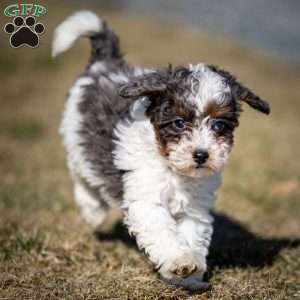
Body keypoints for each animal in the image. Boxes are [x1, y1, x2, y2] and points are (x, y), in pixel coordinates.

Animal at [52, 11, 270, 290]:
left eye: (219, 125)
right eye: (179, 123)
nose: (201, 155)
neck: (172, 166)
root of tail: (104, 62)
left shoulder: (194, 207)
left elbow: (191, 235)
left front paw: (190, 276)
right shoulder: (146, 198)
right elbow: (163, 231)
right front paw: (179, 262)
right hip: (75, 137)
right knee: (83, 175)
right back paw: (93, 210)